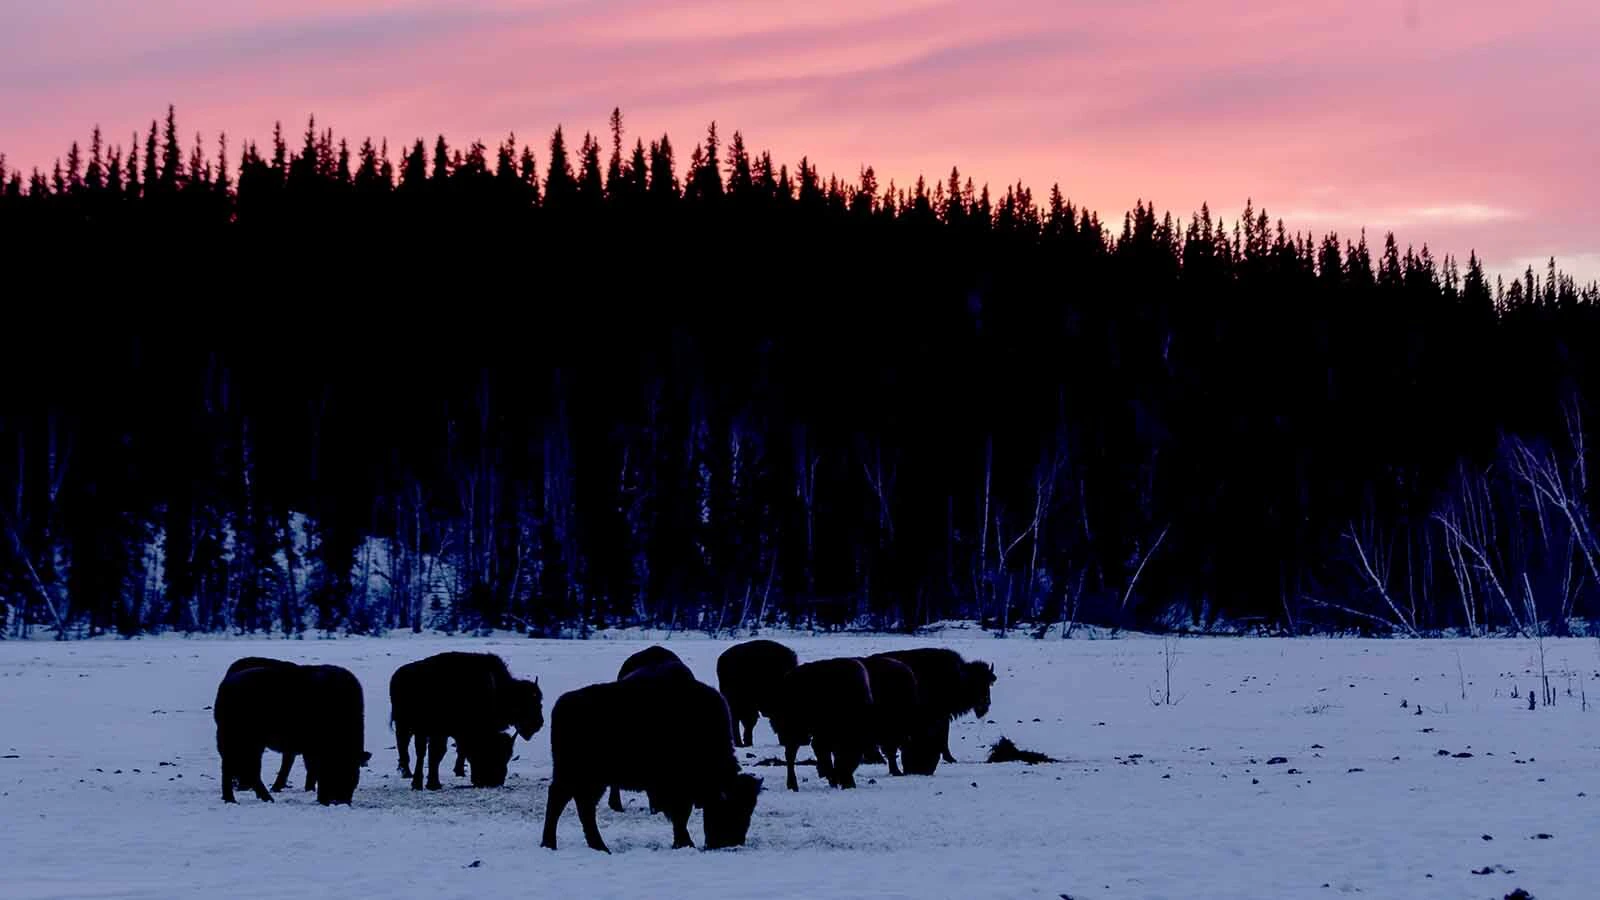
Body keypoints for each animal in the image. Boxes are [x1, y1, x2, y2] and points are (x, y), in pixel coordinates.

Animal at [214, 662, 370, 805]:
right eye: (339, 768)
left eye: (354, 773)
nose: (341, 801)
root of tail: (225, 685)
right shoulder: (313, 751)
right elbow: (313, 769)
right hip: (241, 742)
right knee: (234, 769)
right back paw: (233, 799)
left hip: (251, 746)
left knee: (248, 770)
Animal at [390, 652, 542, 790]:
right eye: (490, 752)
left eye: (507, 756)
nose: (494, 781)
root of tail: (397, 674)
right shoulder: (439, 732)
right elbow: (437, 753)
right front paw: (433, 784)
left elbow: (450, 752)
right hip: (404, 726)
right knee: (405, 747)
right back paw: (408, 774)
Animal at [541, 663, 762, 853]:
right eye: (730, 808)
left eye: (749, 810)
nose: (732, 842)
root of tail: (561, 705)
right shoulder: (675, 788)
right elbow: (681, 815)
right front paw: (685, 843)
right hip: (576, 774)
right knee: (560, 800)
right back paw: (551, 843)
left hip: (591, 779)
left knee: (582, 806)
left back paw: (598, 846)